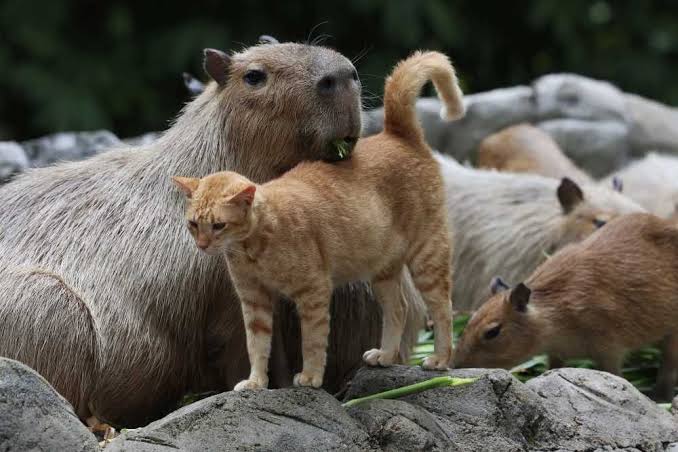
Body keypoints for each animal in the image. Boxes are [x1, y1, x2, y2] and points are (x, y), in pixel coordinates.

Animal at [173, 50, 464, 388]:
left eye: (218, 225)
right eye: (193, 224)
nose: (203, 245)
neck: (253, 248)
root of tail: (398, 134)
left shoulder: (313, 293)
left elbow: (312, 341)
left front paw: (310, 376)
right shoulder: (254, 301)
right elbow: (256, 346)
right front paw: (256, 382)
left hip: (426, 257)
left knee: (443, 308)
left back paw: (440, 359)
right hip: (383, 270)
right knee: (398, 308)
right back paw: (385, 355)